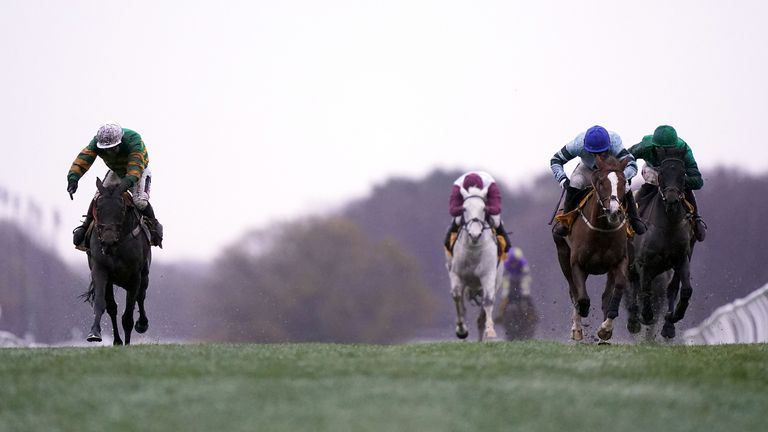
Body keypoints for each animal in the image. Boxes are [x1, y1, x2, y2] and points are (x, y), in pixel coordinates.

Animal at [552, 155, 632, 344]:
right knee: (573, 291)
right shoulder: (577, 264)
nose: (614, 211)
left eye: (623, 182)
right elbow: (581, 297)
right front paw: (580, 320)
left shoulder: (620, 261)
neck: (601, 230)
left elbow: (616, 289)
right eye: (601, 182)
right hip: (563, 256)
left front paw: (605, 329)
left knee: (605, 295)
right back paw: (577, 328)